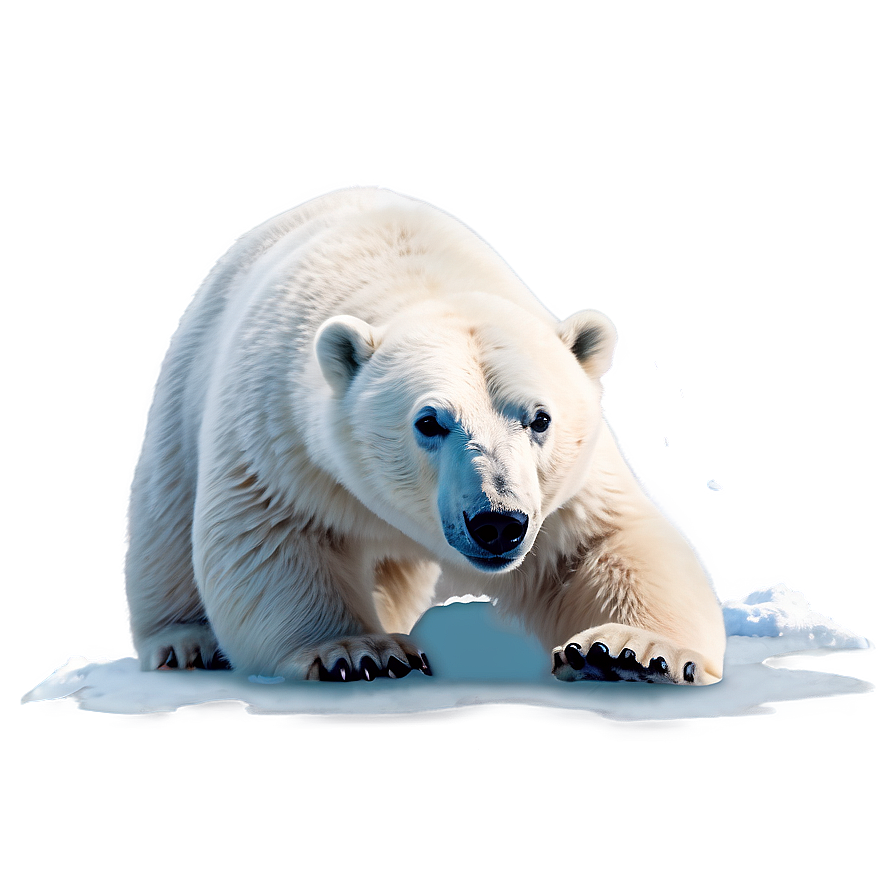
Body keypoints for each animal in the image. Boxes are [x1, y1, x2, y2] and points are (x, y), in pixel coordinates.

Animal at [124, 186, 726, 685]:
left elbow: (600, 545)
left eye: (540, 419)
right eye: (430, 421)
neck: (418, 278)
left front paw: (627, 652)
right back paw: (185, 643)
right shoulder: (281, 433)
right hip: (185, 386)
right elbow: (270, 534)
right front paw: (359, 651)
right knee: (167, 517)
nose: (497, 523)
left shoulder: (563, 489)